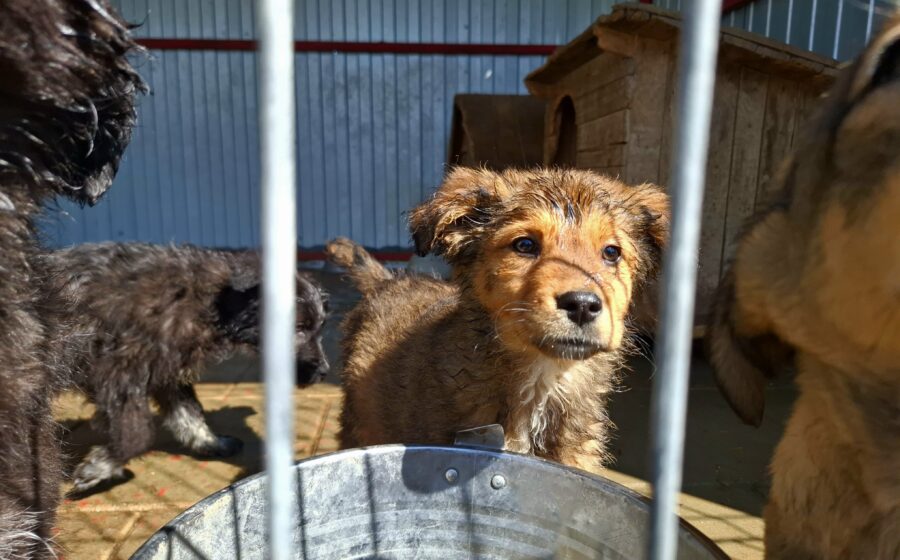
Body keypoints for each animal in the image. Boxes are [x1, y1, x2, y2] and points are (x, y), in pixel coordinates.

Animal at [36, 242, 330, 493]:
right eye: (299, 328)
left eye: (319, 328)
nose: (324, 372)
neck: (211, 302)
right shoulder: (117, 371)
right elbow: (139, 433)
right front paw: (101, 466)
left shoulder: (165, 371)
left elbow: (188, 413)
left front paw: (211, 442)